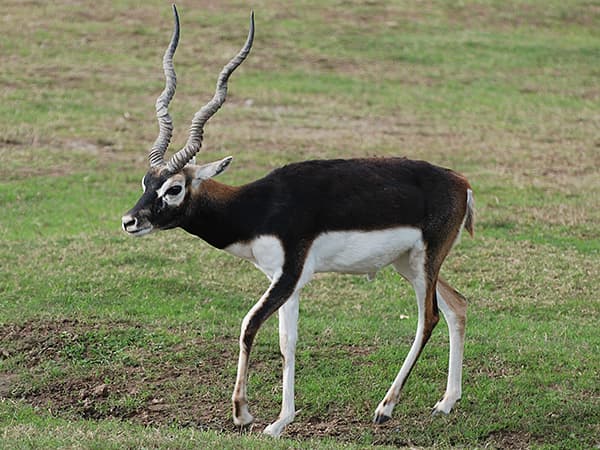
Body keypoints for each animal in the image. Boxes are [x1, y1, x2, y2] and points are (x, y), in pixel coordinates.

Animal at [122, 5, 474, 438]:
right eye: (146, 181)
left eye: (174, 188)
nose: (130, 221)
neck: (257, 207)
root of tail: (460, 182)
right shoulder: (281, 278)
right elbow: (287, 340)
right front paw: (280, 422)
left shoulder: (290, 273)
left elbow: (249, 325)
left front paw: (243, 413)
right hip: (409, 264)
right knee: (457, 306)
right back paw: (446, 403)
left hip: (425, 261)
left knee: (430, 317)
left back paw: (386, 408)